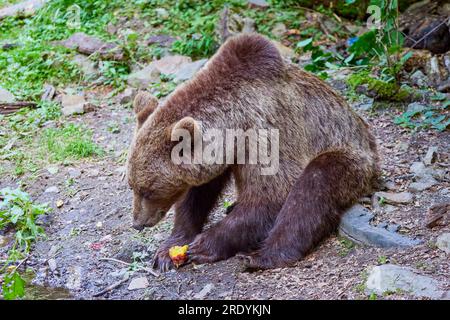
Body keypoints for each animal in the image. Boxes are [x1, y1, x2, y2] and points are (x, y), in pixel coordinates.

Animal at [127, 33, 380, 272]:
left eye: (148, 190)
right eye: (132, 186)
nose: (138, 223)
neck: (235, 126)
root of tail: (369, 140)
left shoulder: (267, 131)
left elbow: (272, 194)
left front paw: (202, 246)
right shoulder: (223, 156)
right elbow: (198, 195)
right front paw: (169, 249)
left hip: (348, 158)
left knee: (313, 186)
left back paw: (261, 256)